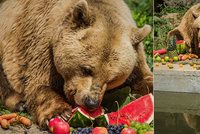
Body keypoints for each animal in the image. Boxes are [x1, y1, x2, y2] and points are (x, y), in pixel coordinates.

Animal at [0, 0, 153, 127]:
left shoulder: (136, 55)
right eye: (87, 69)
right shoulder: (42, 46)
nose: (91, 102)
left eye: (111, 80)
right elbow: (39, 84)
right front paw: (60, 113)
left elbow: (144, 78)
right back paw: (19, 102)